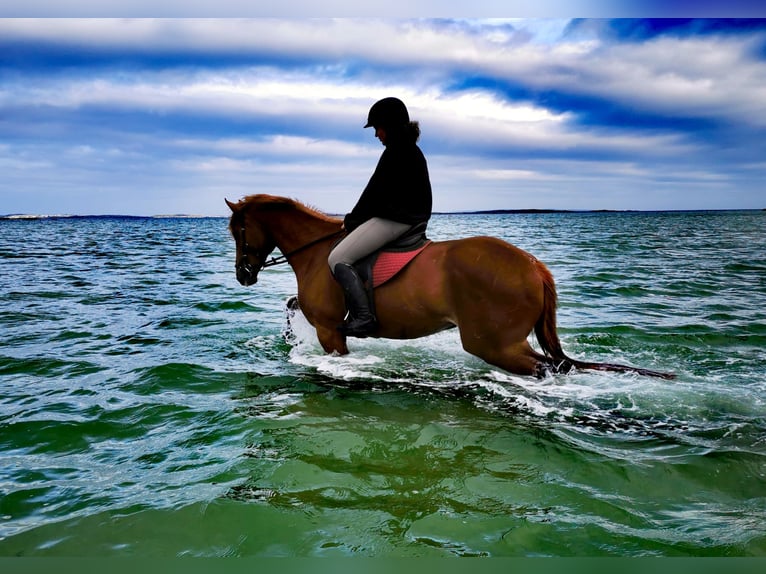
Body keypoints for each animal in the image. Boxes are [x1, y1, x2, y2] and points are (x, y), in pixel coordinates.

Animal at [225, 196, 676, 380]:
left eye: (238, 230)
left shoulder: (329, 330)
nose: (243, 274)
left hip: (492, 343)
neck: (318, 251)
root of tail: (534, 267)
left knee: (543, 368)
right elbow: (290, 304)